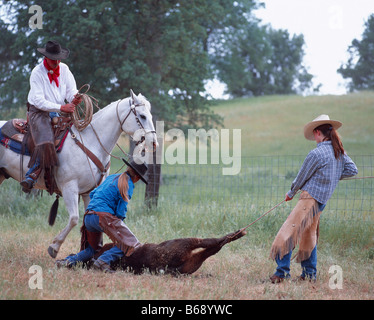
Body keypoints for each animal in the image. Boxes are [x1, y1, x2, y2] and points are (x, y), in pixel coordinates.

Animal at [0, 90, 157, 258]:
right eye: (142, 116)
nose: (154, 143)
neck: (91, 142)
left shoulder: (89, 191)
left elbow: (89, 218)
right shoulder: (69, 188)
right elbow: (74, 219)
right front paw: (54, 247)